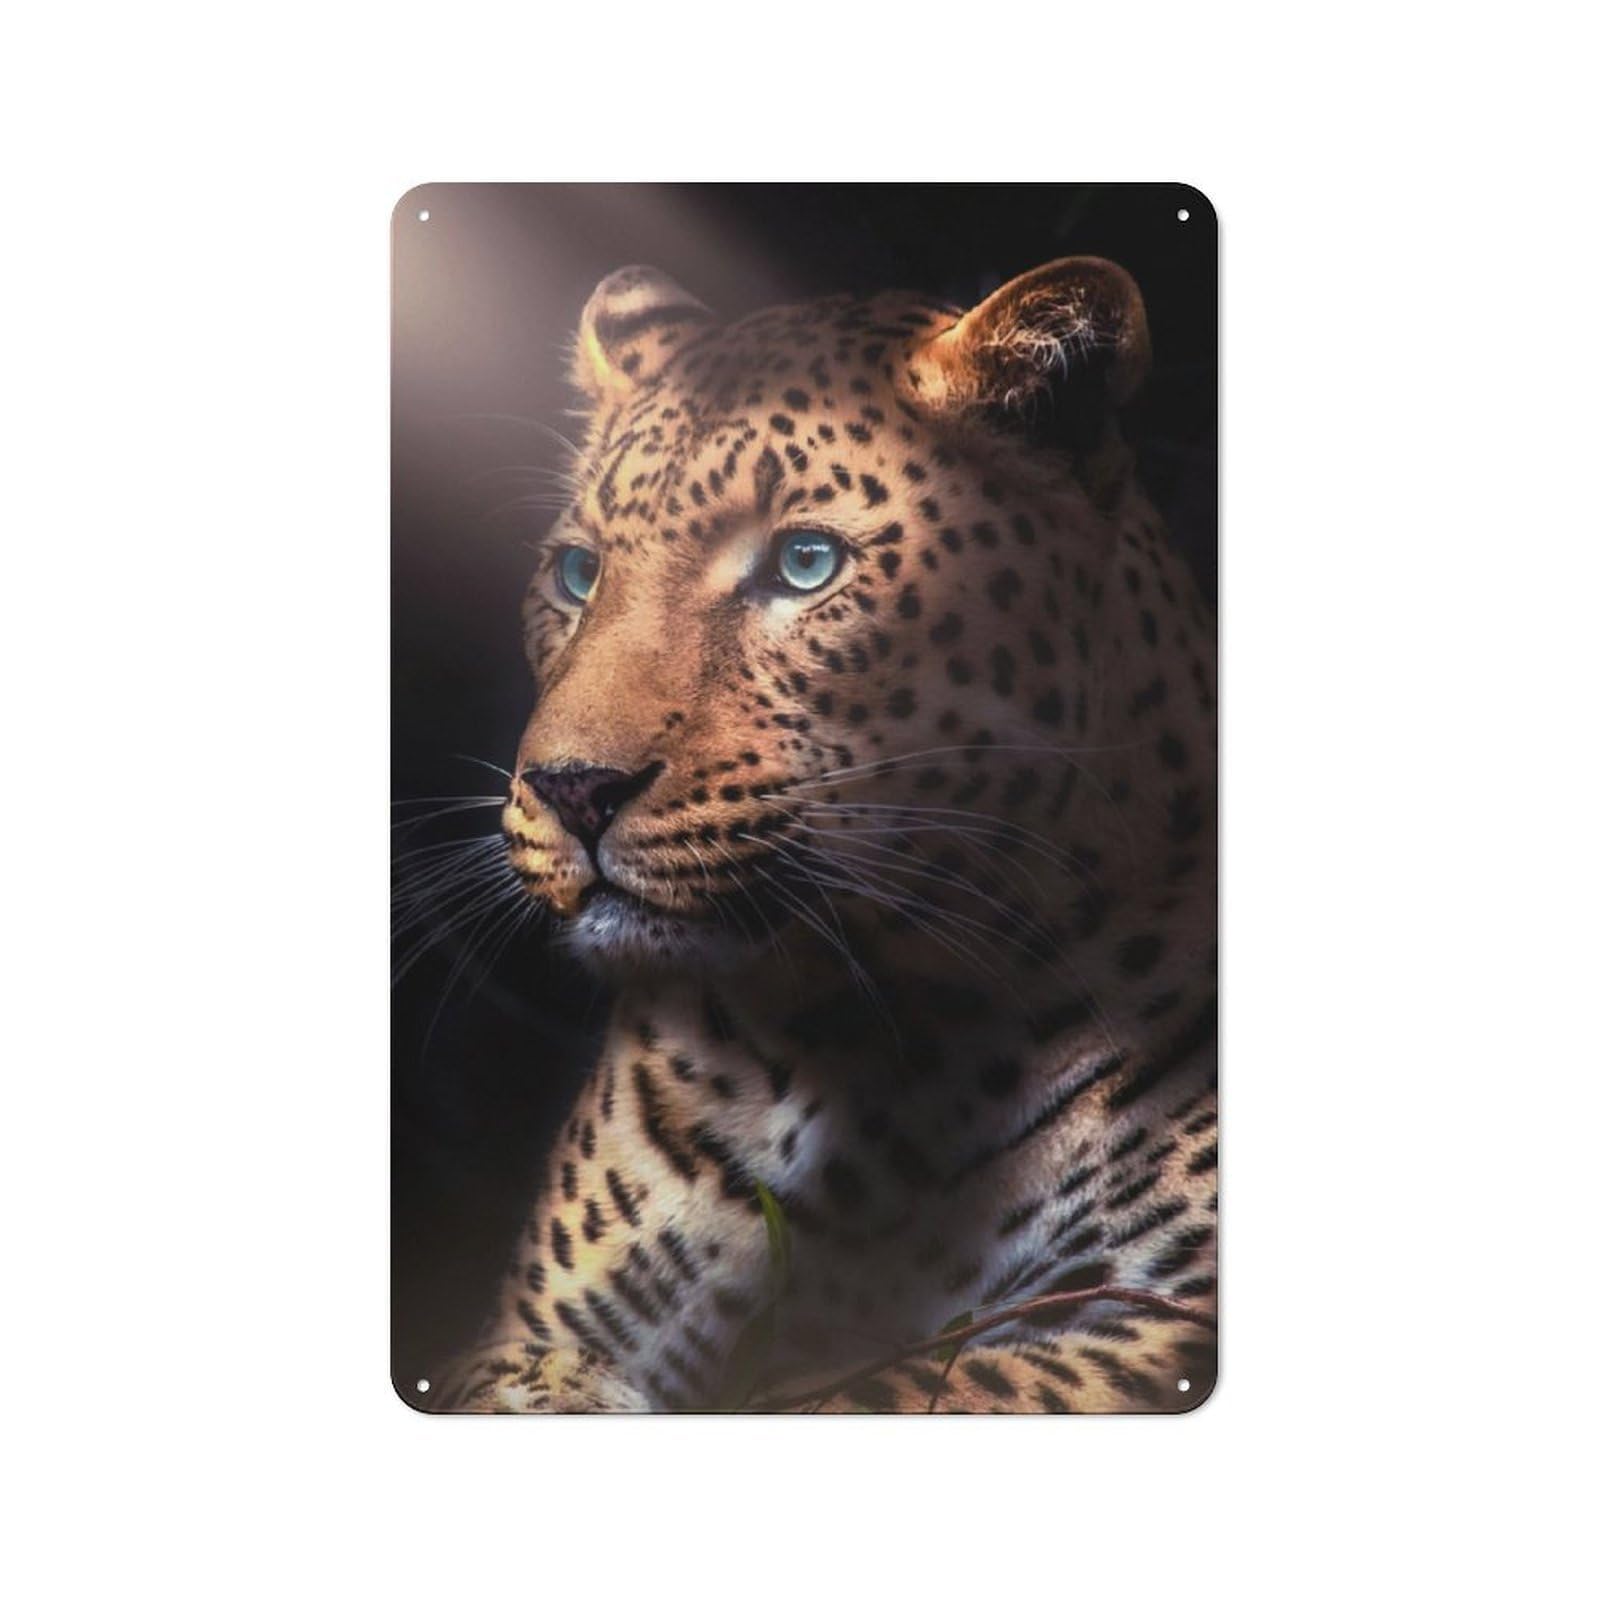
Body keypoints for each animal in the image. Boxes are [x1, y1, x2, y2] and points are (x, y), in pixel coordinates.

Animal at [428, 253, 1217, 1414]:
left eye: (804, 564)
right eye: (578, 574)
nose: (572, 790)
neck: (867, 1041)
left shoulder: (1154, 1323)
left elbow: (885, 1392)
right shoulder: (534, 1331)